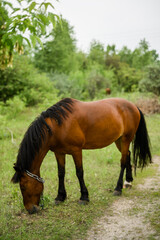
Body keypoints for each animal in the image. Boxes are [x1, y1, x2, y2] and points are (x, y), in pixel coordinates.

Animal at [11, 97, 151, 214]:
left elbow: (79, 172)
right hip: (119, 140)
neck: (58, 125)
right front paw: (60, 197)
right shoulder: (59, 152)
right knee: (127, 155)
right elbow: (61, 173)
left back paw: (118, 188)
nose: (30, 209)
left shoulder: (76, 151)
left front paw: (84, 197)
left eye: (23, 186)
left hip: (126, 139)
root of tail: (133, 105)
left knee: (122, 161)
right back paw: (128, 181)